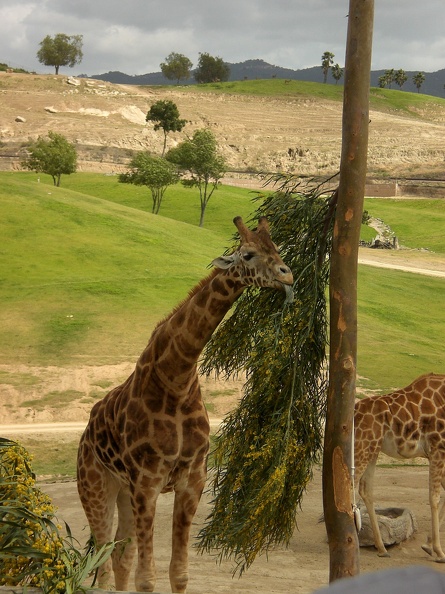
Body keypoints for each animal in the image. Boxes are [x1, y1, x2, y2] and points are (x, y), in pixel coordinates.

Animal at [76, 216, 292, 592]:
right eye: (248, 254)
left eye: (276, 248)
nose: (287, 274)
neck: (176, 379)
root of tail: (85, 434)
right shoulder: (148, 481)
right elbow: (147, 578)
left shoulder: (192, 478)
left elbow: (179, 572)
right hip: (95, 485)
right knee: (102, 562)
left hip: (123, 491)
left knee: (119, 556)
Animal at [356, 370, 445, 560]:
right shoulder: (437, 449)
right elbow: (434, 497)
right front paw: (439, 551)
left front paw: (428, 545)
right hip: (363, 447)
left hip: (372, 449)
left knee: (365, 488)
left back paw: (381, 548)